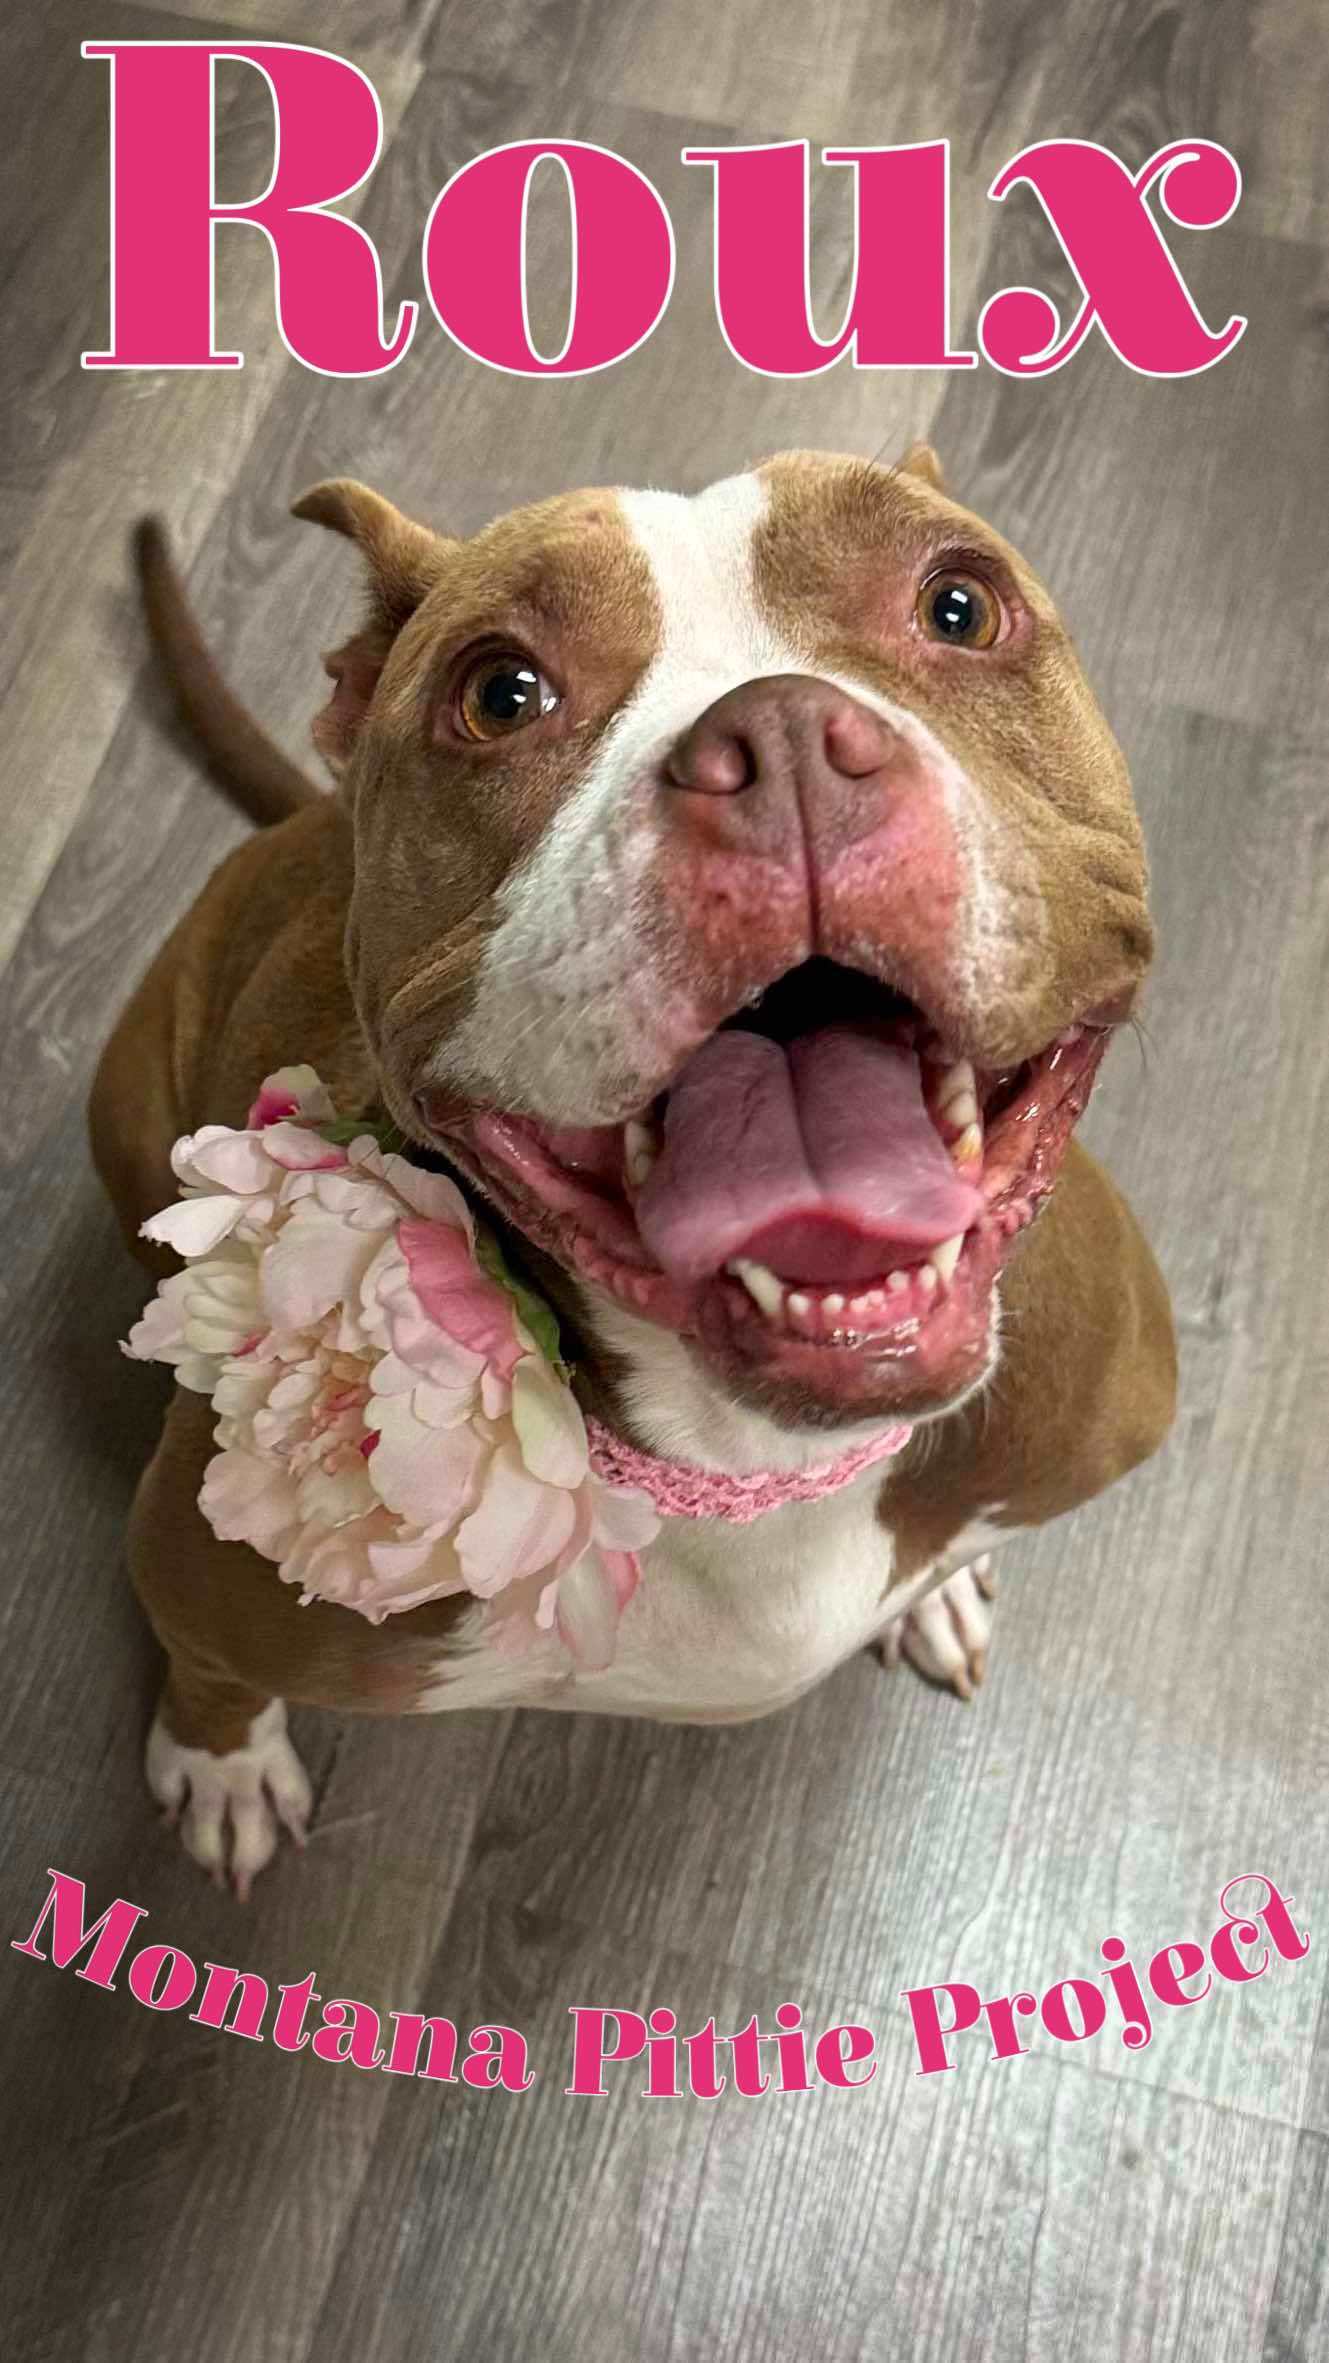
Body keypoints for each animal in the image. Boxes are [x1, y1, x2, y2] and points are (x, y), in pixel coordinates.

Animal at [90, 439, 1168, 1880]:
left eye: (958, 604)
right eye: (499, 692)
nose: (783, 743)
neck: (749, 1457)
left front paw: (931, 1590)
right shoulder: (200, 1572)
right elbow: (209, 1671)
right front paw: (220, 1763)